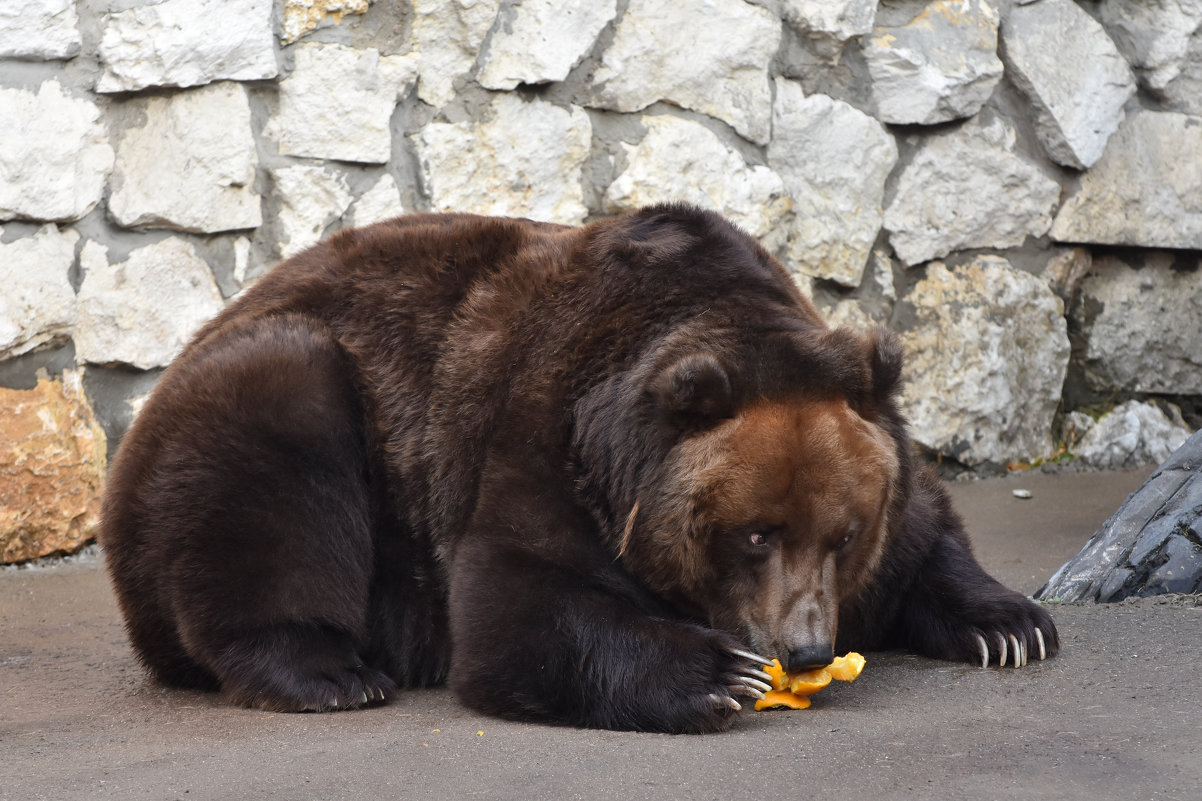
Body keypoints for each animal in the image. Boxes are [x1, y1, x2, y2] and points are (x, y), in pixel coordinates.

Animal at [105, 204, 1062, 731]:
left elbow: (926, 528)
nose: (804, 646)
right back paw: (328, 672)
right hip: (252, 411)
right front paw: (717, 674)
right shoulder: (545, 440)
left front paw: (1010, 624)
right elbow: (521, 607)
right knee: (272, 427)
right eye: (755, 533)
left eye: (845, 532)